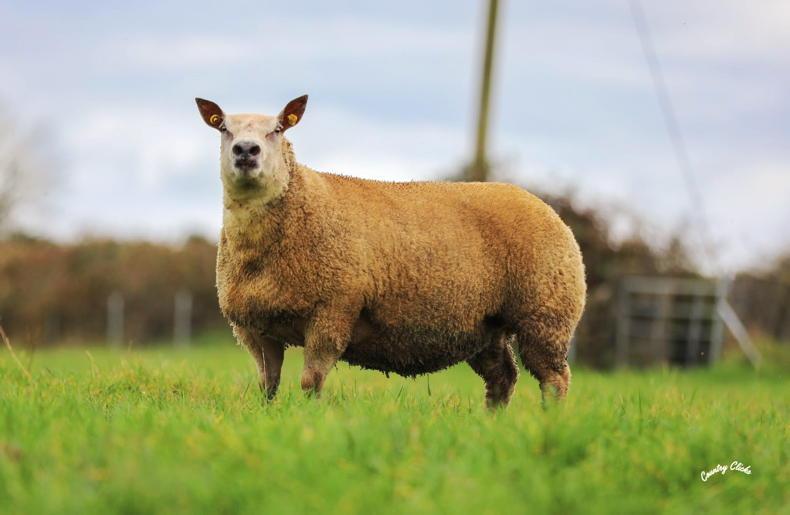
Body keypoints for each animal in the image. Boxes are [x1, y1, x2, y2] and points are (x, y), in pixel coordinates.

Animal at [195, 95, 586, 407]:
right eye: (223, 128)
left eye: (278, 129)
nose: (246, 151)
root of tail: (547, 209)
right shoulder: (254, 328)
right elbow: (268, 385)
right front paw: (270, 416)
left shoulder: (333, 310)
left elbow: (311, 381)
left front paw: (310, 417)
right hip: (486, 326)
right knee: (503, 377)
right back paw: (493, 421)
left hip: (546, 313)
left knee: (554, 380)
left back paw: (550, 419)